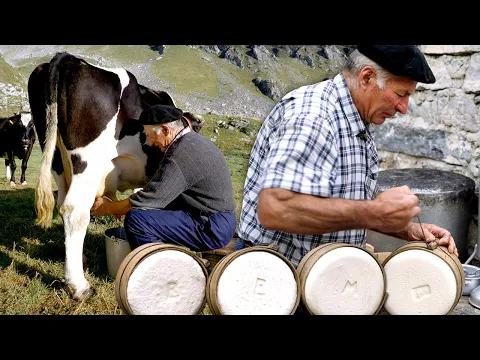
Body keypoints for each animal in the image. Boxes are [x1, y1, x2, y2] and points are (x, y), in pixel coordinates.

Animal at [28, 52, 204, 300]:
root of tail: (70, 60)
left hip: (56, 159)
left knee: (63, 205)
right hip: (87, 162)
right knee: (74, 211)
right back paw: (79, 286)